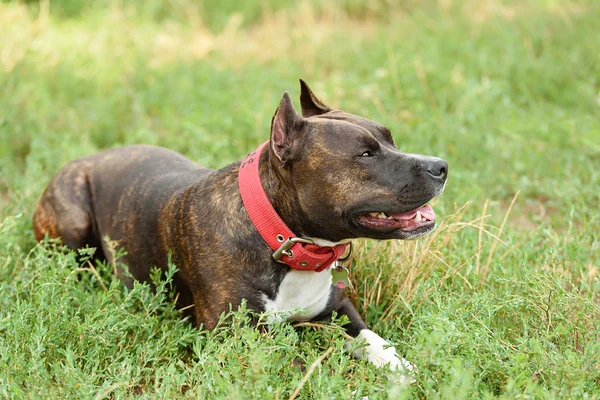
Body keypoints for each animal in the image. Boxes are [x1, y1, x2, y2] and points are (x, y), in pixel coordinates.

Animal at [32, 81, 446, 376]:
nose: (440, 165)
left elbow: (373, 339)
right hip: (72, 220)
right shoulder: (234, 333)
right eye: (365, 154)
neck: (282, 239)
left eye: (390, 139)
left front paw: (403, 369)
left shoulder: (337, 307)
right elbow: (296, 364)